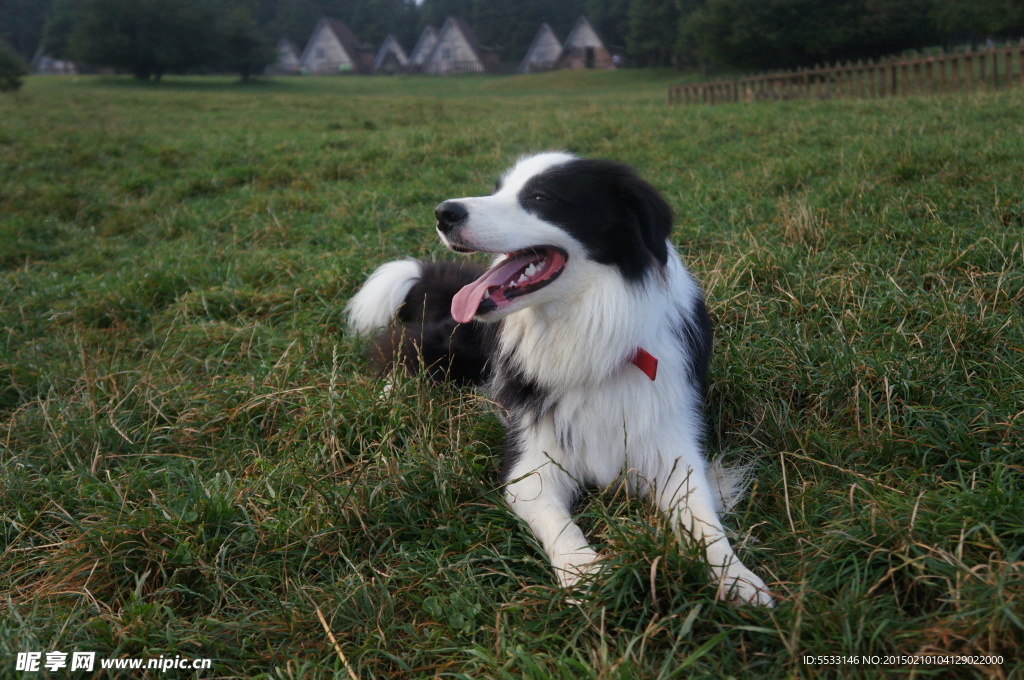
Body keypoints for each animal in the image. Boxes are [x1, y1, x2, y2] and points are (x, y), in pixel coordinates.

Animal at [348, 152, 770, 606]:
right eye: (498, 189)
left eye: (540, 197)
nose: (443, 213)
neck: (585, 329)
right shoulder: (531, 463)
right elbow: (562, 526)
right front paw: (586, 576)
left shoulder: (672, 444)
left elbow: (704, 520)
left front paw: (737, 578)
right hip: (457, 347)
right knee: (403, 351)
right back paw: (388, 402)